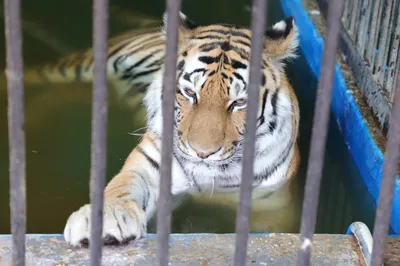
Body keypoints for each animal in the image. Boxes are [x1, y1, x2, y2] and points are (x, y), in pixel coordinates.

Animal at [62, 10, 300, 245]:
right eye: (190, 93)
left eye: (240, 102)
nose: (202, 153)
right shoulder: (148, 165)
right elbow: (124, 185)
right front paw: (107, 218)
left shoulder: (270, 203)